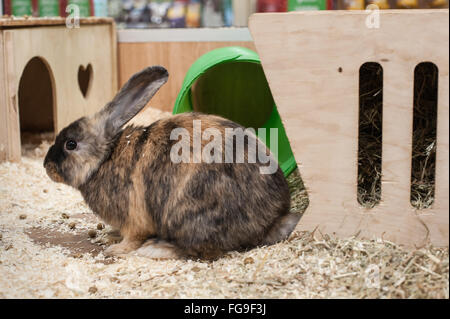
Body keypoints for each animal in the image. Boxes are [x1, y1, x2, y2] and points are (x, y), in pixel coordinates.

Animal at [44, 66, 298, 262]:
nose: (47, 166)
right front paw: (110, 235)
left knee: (200, 250)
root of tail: (271, 222)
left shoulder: (134, 220)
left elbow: (132, 239)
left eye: (70, 144)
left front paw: (115, 248)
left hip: (186, 215)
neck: (104, 158)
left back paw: (155, 249)